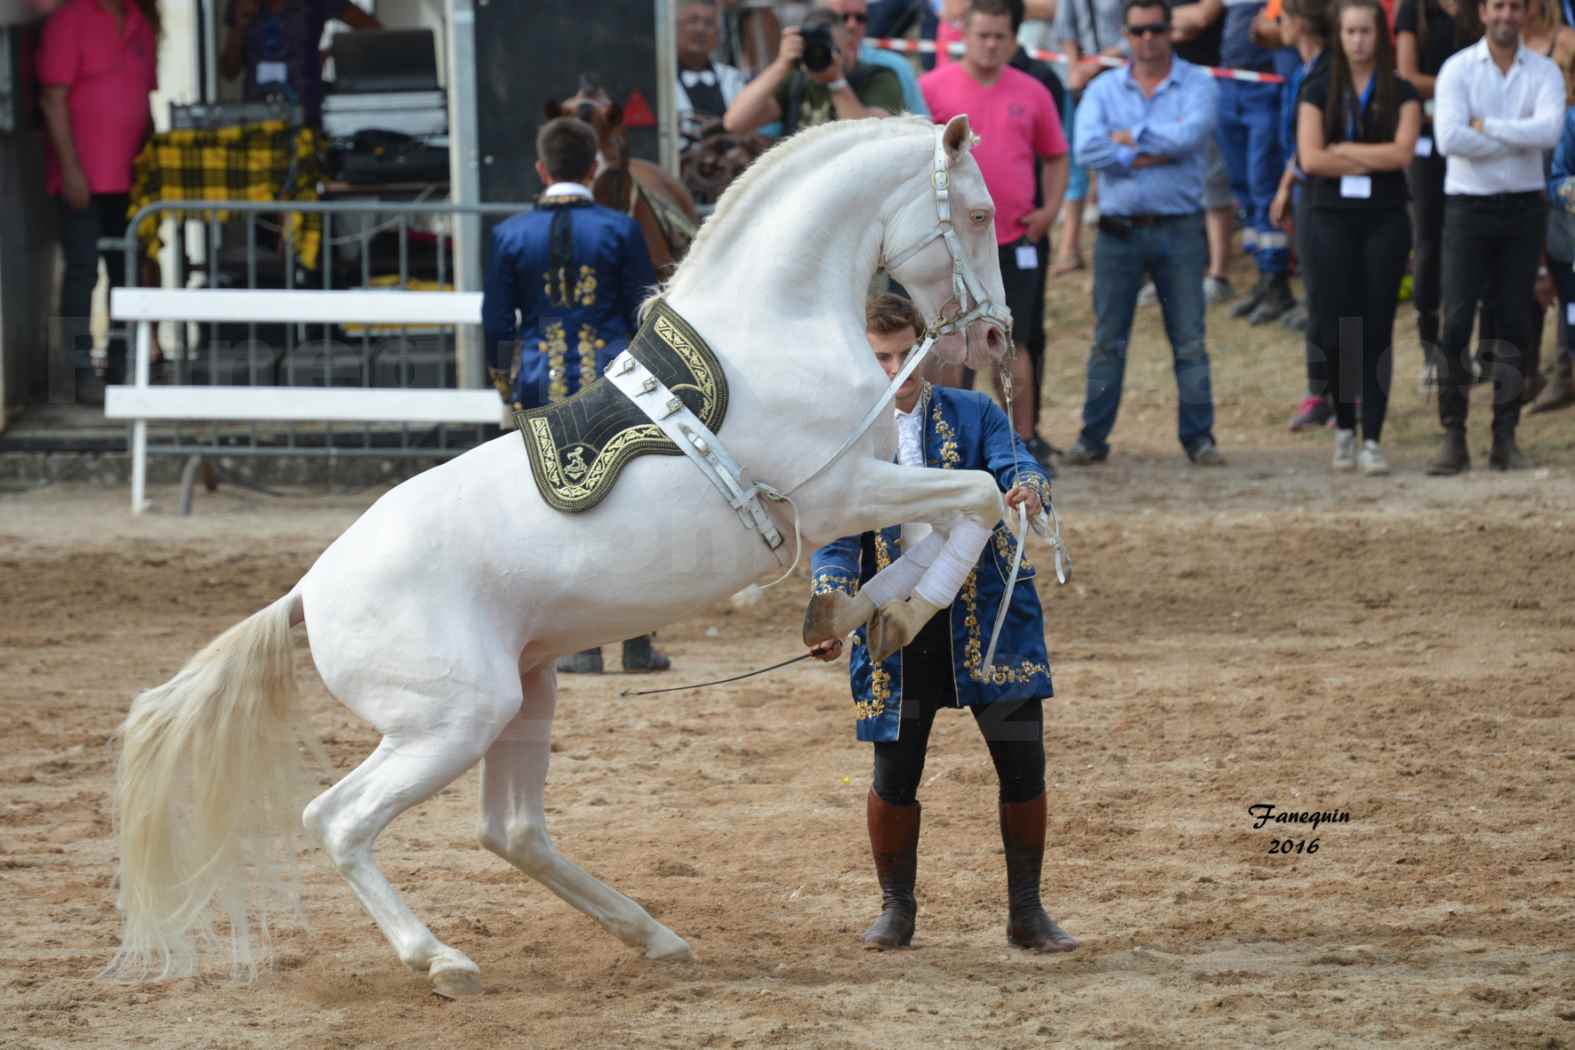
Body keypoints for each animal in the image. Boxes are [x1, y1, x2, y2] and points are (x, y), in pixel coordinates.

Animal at [114, 110, 1020, 1001]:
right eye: (980, 215)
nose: (993, 336)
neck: (772, 334)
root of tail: (307, 592)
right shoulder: (843, 490)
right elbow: (976, 496)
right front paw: (893, 611)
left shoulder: (869, 485)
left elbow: (950, 514)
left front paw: (859, 611)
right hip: (453, 720)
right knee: (339, 820)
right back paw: (440, 959)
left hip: (525, 695)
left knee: (511, 830)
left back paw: (652, 936)